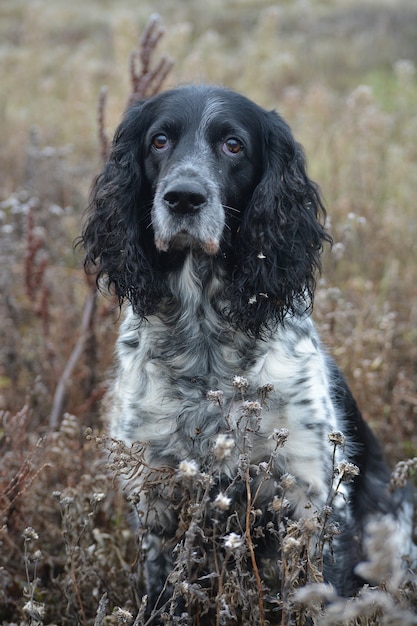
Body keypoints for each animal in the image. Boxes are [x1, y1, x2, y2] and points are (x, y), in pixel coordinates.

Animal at [79, 85, 412, 616]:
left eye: (233, 145)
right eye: (159, 140)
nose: (184, 197)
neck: (204, 336)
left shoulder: (314, 495)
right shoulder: (156, 495)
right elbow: (163, 588)